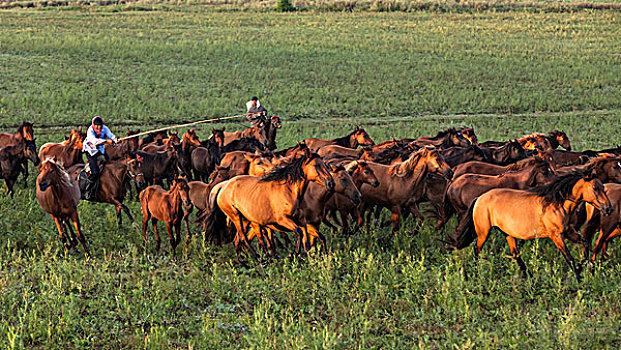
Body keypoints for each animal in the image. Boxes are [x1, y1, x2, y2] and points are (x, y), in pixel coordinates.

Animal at [200, 150, 334, 260]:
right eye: (316, 165)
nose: (331, 183)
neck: (288, 190)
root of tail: (223, 185)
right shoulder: (283, 220)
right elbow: (299, 234)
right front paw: (292, 255)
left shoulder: (301, 221)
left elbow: (320, 237)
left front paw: (324, 256)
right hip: (236, 217)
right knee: (243, 238)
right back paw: (260, 259)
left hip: (246, 220)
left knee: (238, 239)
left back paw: (244, 261)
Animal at [448, 171, 612, 284]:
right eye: (595, 188)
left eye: (603, 187)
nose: (609, 208)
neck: (557, 204)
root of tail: (479, 198)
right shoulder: (556, 236)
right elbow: (569, 258)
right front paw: (579, 278)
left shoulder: (568, 232)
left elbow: (585, 243)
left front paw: (584, 267)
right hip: (483, 232)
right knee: (476, 249)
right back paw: (475, 273)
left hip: (507, 233)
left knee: (515, 253)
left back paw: (529, 276)